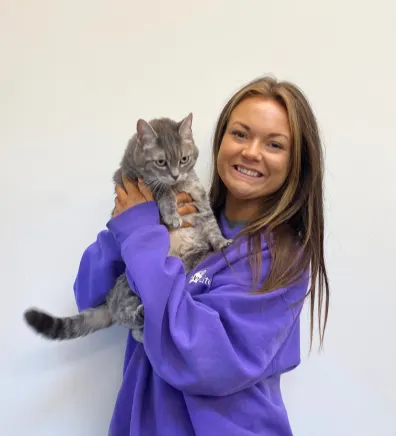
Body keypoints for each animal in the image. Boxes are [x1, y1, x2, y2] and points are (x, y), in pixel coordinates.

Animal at [23, 113, 230, 344]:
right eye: (161, 162)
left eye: (184, 159)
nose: (176, 175)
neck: (178, 186)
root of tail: (109, 298)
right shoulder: (131, 179)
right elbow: (162, 190)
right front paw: (171, 212)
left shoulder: (198, 196)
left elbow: (210, 221)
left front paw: (221, 241)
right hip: (130, 288)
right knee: (133, 319)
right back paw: (141, 319)